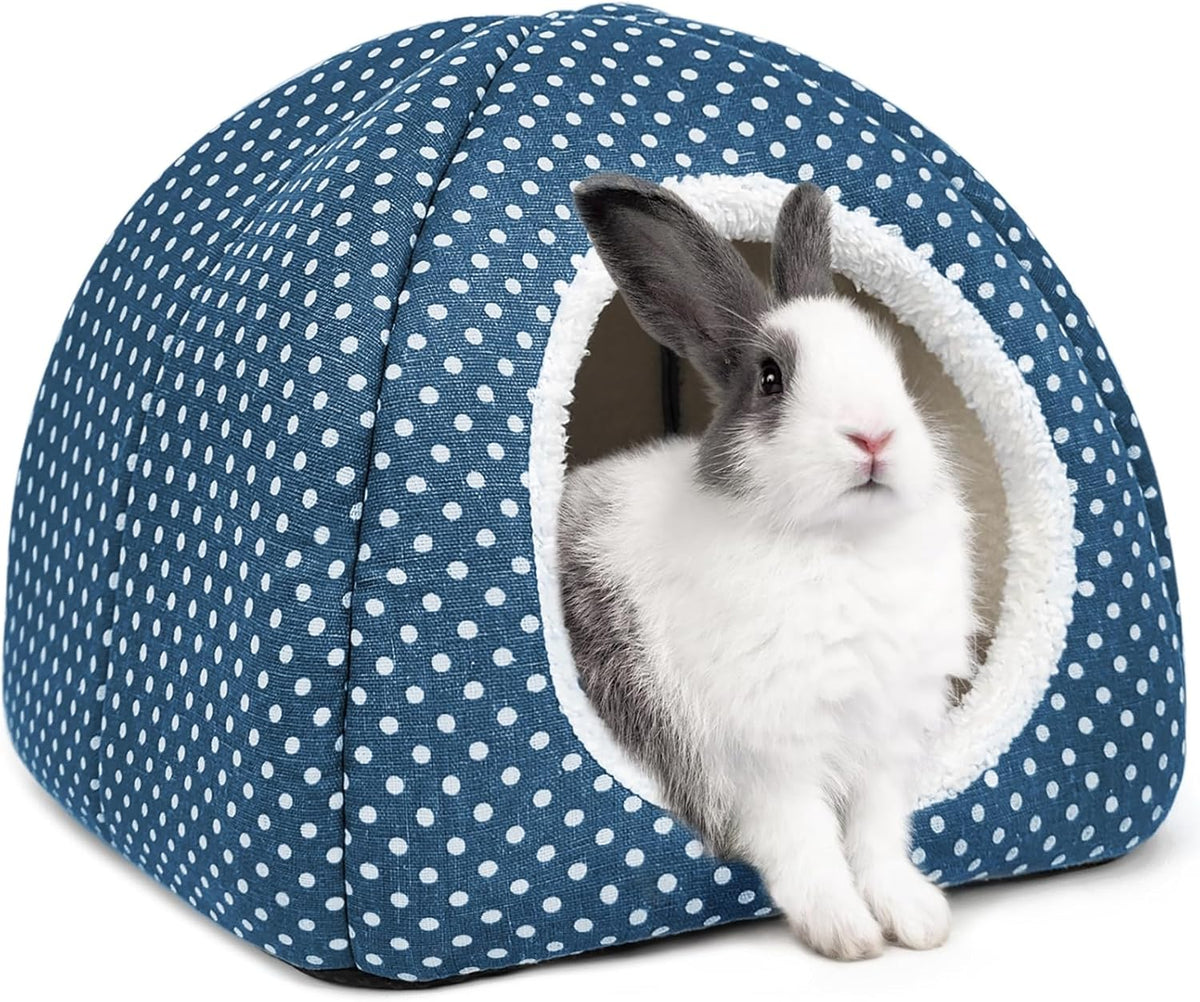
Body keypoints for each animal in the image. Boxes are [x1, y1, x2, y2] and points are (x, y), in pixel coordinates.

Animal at [559, 174, 976, 961]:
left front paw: (916, 920)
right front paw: (847, 934)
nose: (873, 436)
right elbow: (806, 842)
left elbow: (878, 838)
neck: (841, 543)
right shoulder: (768, 758)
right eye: (771, 378)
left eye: (895, 367)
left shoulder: (884, 749)